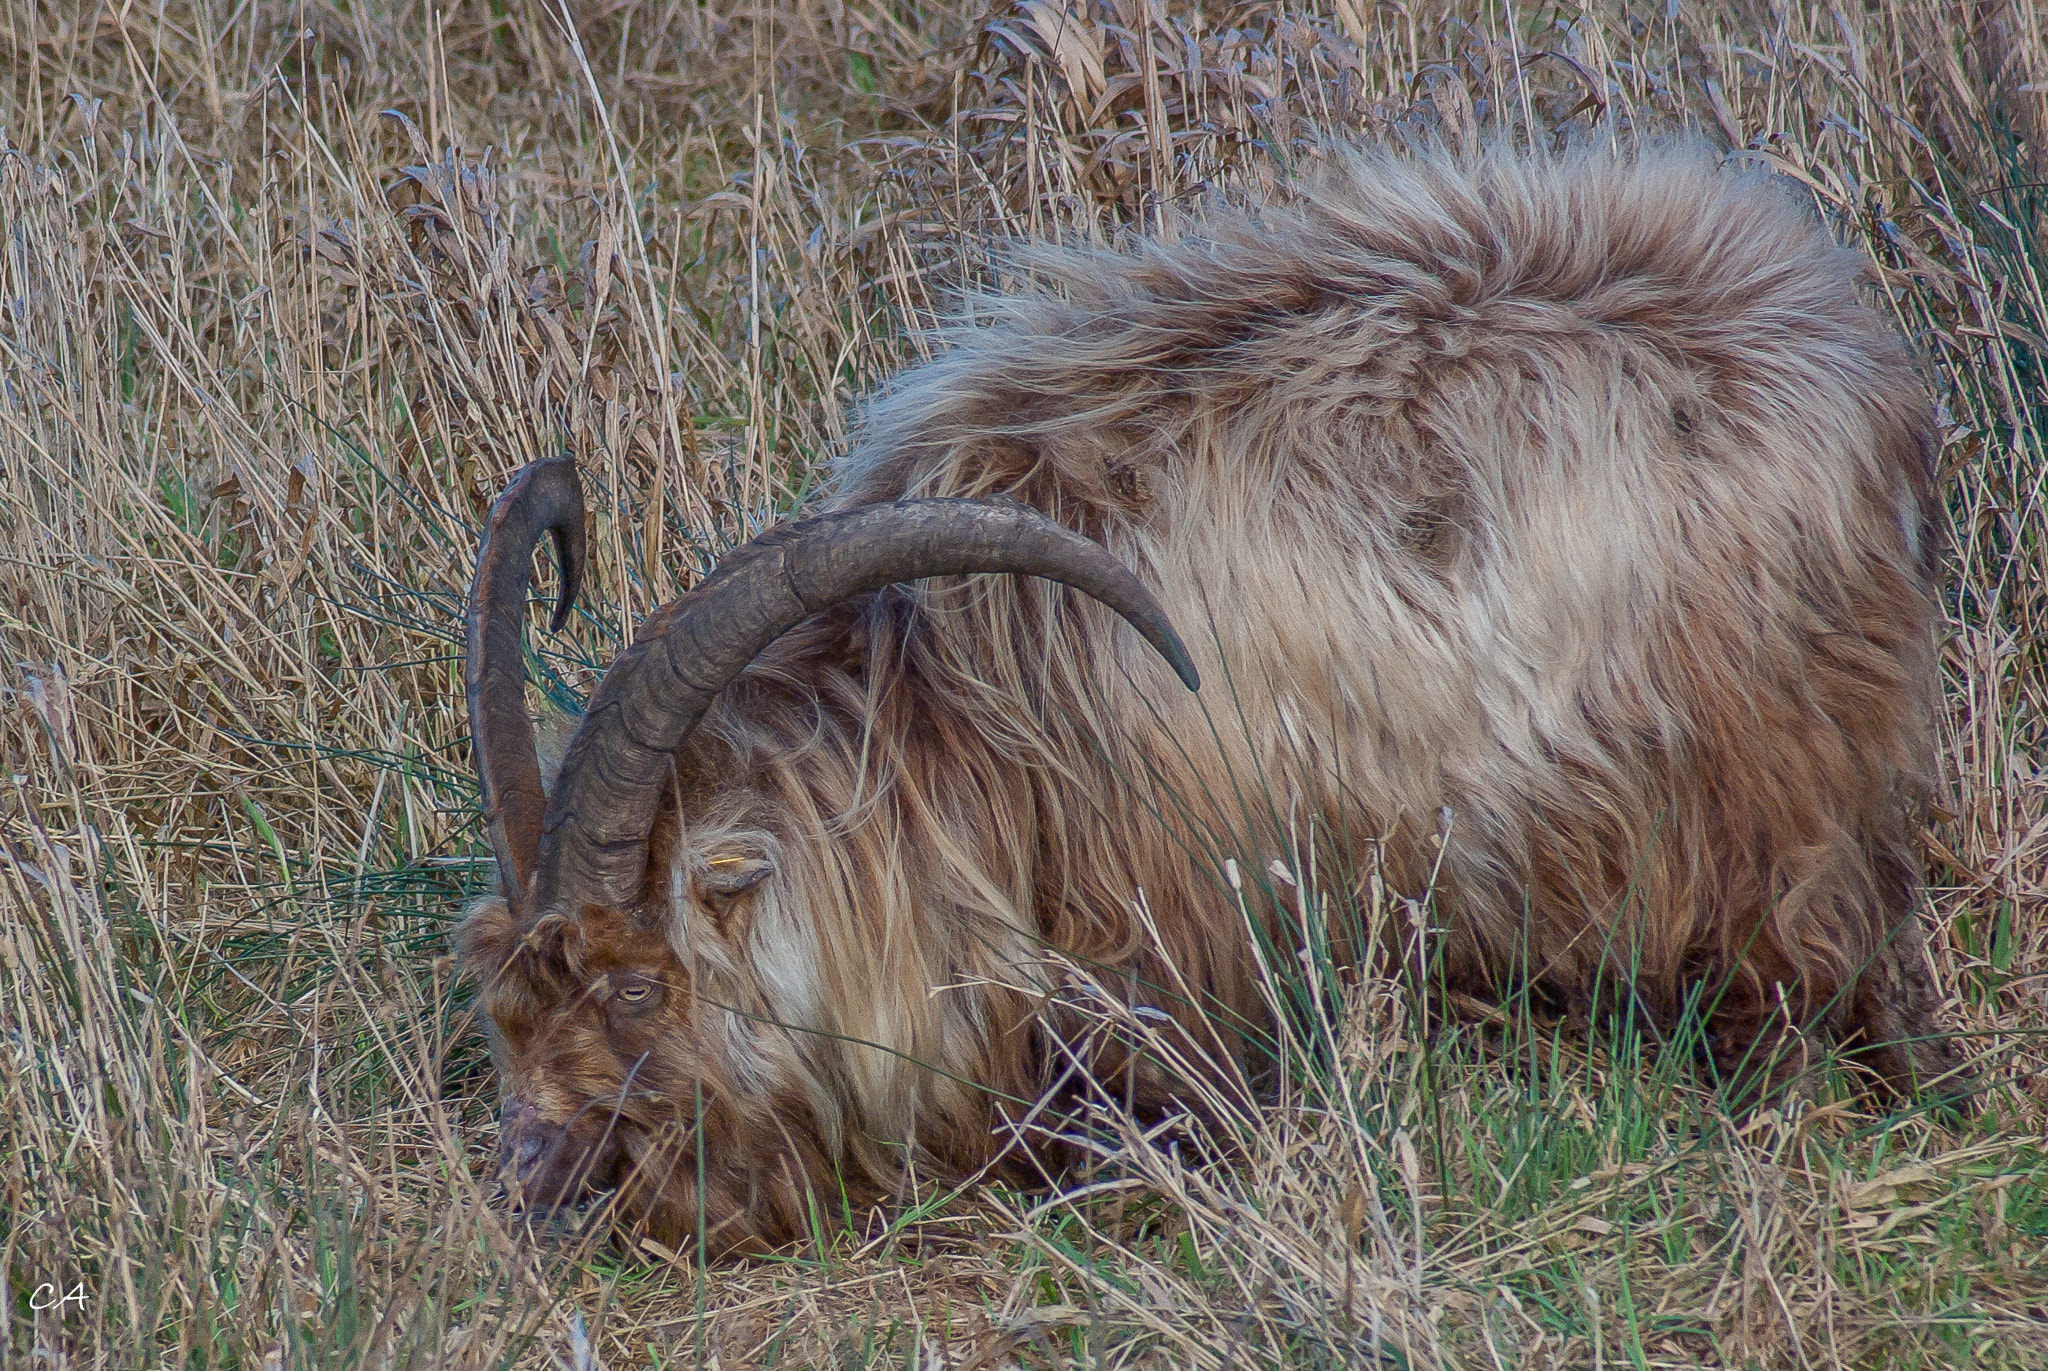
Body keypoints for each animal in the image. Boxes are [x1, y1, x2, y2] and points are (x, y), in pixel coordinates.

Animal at [460, 144, 1966, 1254]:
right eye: (507, 1003)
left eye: (641, 988)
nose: (546, 1185)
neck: (951, 724)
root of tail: (1853, 371)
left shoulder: (1176, 931)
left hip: (1770, 780)